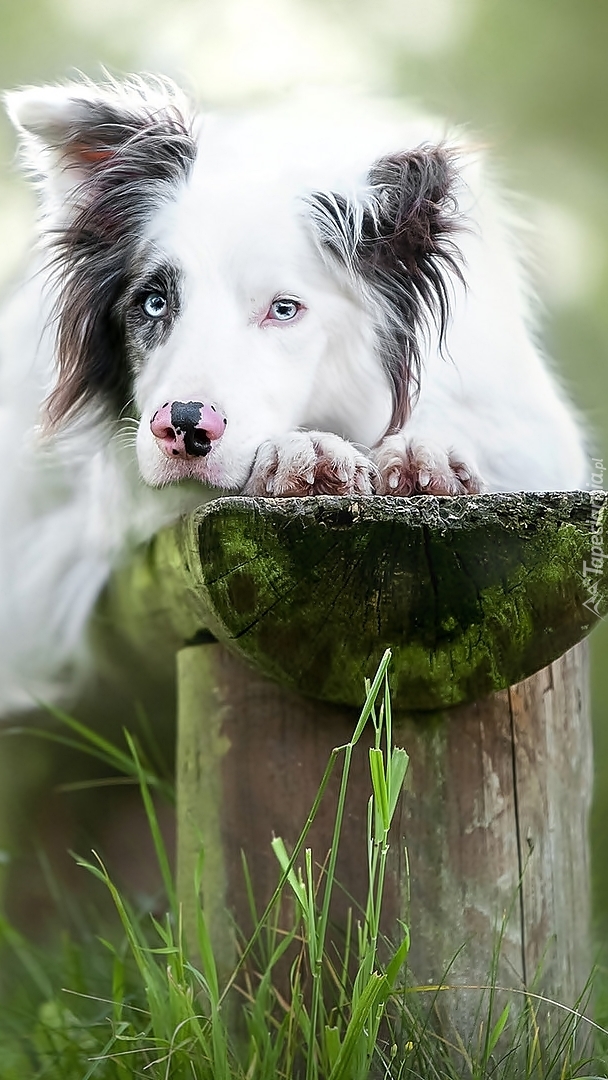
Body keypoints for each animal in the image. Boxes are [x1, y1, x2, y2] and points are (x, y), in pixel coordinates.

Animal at [1, 78, 591, 717]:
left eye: (284, 310)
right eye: (153, 303)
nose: (182, 426)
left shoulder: (536, 437)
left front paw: (420, 455)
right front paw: (305, 452)